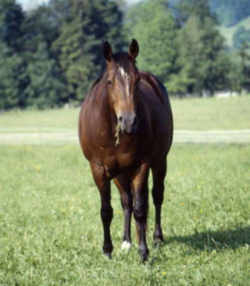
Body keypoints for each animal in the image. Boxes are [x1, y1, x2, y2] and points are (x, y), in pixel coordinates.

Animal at [79, 38, 173, 262]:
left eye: (136, 81)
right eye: (109, 81)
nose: (129, 121)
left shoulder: (141, 165)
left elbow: (141, 209)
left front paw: (144, 252)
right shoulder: (99, 169)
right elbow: (106, 210)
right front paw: (107, 250)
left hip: (159, 161)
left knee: (155, 196)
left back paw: (156, 238)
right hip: (120, 173)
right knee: (126, 201)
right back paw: (127, 241)